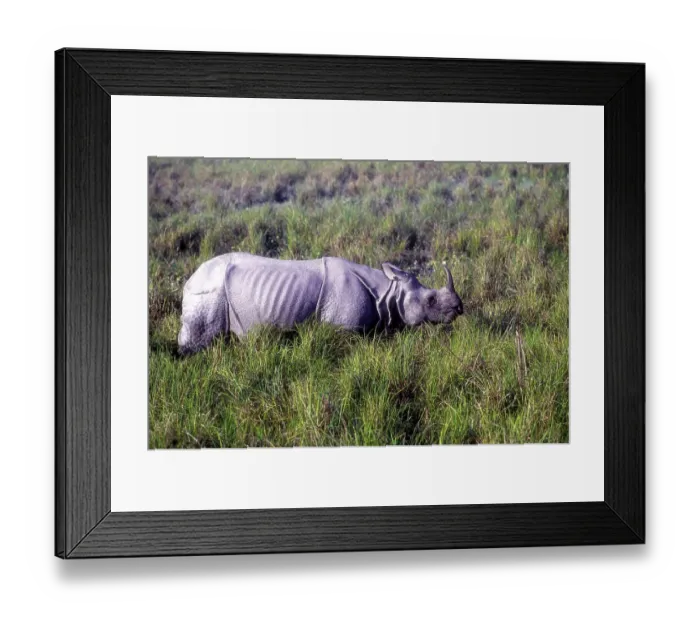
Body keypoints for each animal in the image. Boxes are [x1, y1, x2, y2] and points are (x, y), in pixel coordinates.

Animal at [177, 252, 464, 354]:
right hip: (208, 291)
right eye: (431, 299)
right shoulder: (343, 329)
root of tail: (190, 278)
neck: (389, 291)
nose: (459, 309)